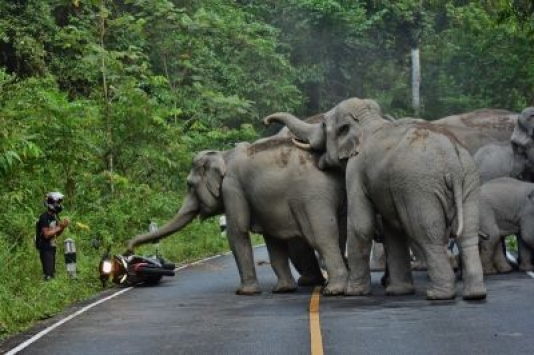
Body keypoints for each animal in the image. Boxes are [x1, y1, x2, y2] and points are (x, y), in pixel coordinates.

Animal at [127, 137, 350, 298]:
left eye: (189, 185)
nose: (128, 250)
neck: (222, 155)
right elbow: (273, 240)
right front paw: (283, 290)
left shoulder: (232, 188)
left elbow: (237, 232)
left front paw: (244, 292)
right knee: (339, 235)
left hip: (313, 197)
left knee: (322, 237)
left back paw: (334, 290)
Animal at [266, 96, 488, 300]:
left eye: (323, 125)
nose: (266, 121)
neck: (367, 120)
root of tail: (451, 156)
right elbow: (392, 231)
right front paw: (398, 291)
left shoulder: (356, 170)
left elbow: (361, 225)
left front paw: (353, 292)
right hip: (469, 180)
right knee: (467, 234)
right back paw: (475, 294)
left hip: (421, 188)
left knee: (427, 234)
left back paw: (438, 294)